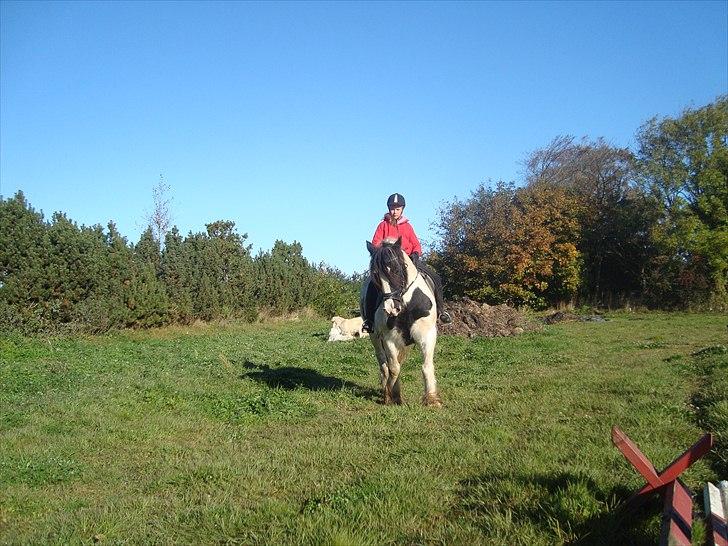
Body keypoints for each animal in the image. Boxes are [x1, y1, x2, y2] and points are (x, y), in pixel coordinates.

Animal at [360, 236, 440, 406]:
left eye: (397, 270)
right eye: (376, 275)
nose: (391, 308)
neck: (406, 304)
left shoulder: (427, 334)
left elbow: (426, 366)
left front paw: (431, 399)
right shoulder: (389, 338)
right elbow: (394, 368)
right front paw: (389, 395)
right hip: (375, 338)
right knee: (384, 363)